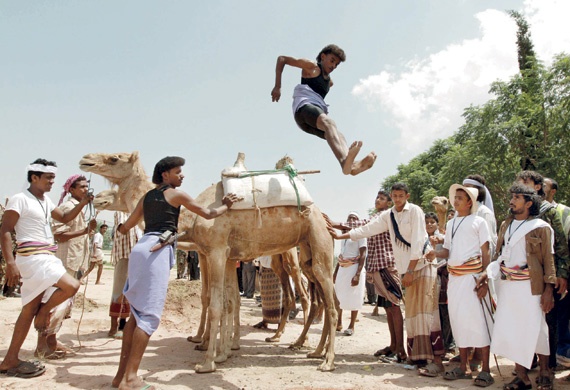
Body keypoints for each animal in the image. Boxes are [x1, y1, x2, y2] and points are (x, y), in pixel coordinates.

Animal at [80, 150, 332, 372]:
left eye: (114, 158)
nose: (85, 160)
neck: (192, 218)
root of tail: (323, 216)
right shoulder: (223, 254)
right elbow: (228, 300)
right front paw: (223, 350)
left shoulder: (215, 252)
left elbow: (215, 302)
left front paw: (208, 359)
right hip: (302, 253)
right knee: (317, 298)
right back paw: (309, 348)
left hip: (307, 247)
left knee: (318, 298)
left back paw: (315, 353)